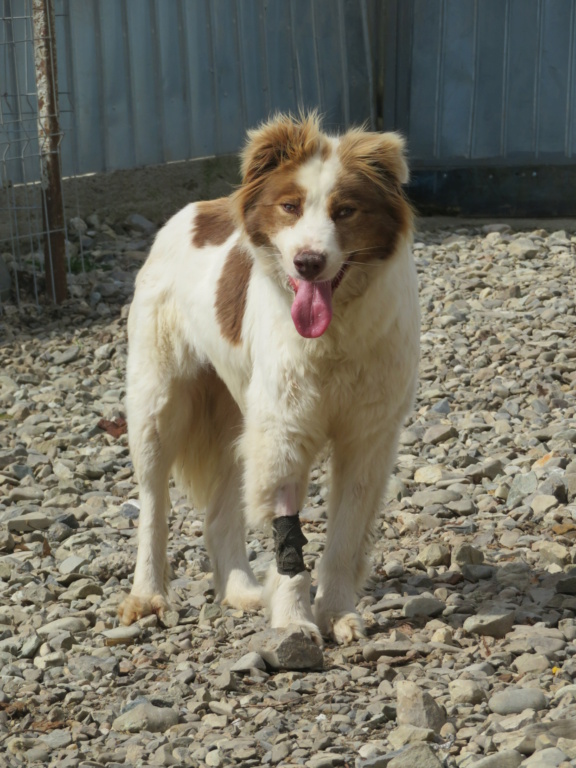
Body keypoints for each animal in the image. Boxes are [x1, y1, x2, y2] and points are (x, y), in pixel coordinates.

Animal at [117, 111, 418, 644]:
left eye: (345, 211)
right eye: (290, 207)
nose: (308, 262)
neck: (335, 334)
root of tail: (197, 207)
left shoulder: (368, 436)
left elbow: (344, 535)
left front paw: (336, 612)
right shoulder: (283, 432)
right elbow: (288, 534)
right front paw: (295, 619)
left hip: (238, 418)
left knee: (220, 517)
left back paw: (242, 591)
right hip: (159, 404)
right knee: (153, 503)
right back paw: (147, 595)